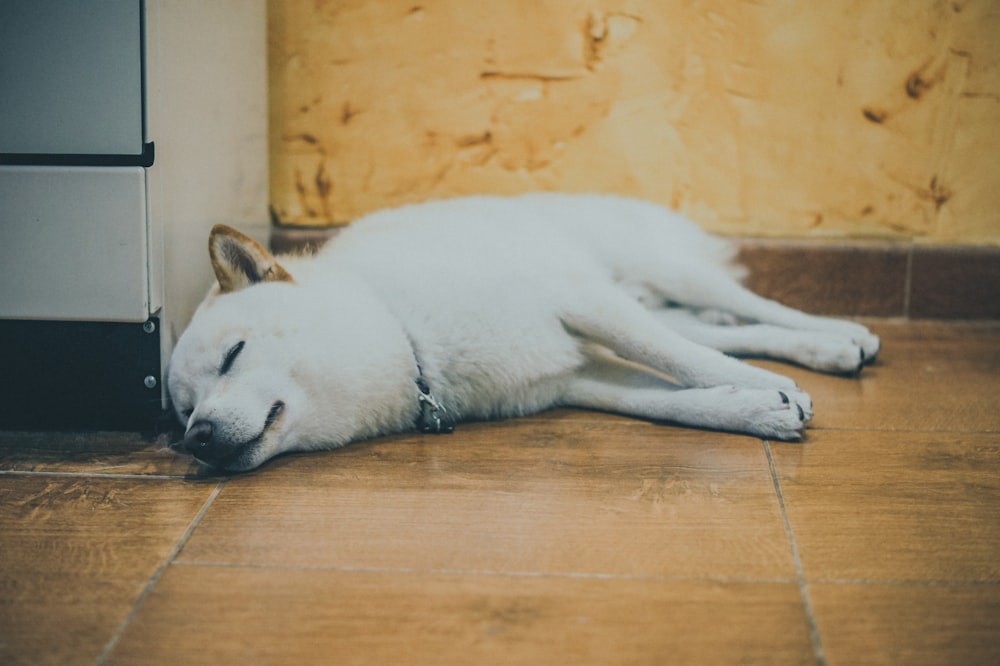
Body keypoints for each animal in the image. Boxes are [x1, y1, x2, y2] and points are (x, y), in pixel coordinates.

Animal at [168, 195, 880, 470]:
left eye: (233, 354)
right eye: (183, 412)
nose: (197, 438)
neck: (403, 327)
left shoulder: (580, 301)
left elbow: (681, 362)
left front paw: (768, 390)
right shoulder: (578, 375)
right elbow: (675, 400)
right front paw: (756, 408)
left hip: (659, 272)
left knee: (754, 307)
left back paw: (840, 334)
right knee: (725, 329)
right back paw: (825, 349)